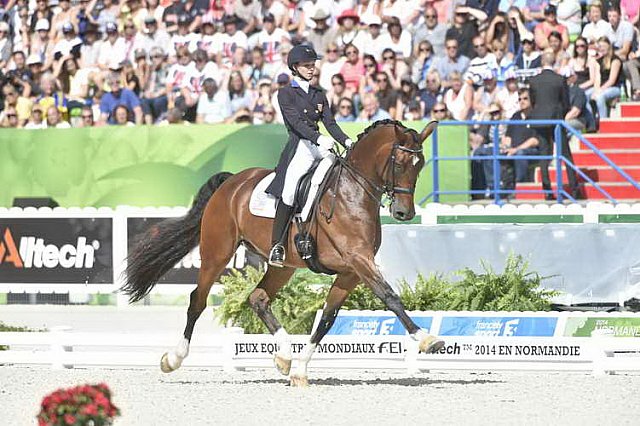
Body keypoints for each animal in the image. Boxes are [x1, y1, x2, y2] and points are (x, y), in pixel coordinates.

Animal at [121, 120, 440, 386]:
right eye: (400, 163)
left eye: (421, 164)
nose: (403, 213)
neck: (353, 192)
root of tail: (231, 182)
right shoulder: (358, 260)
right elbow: (389, 296)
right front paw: (426, 338)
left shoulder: (350, 272)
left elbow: (327, 319)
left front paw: (300, 370)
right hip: (216, 253)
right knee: (197, 301)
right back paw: (173, 359)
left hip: (283, 264)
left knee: (258, 298)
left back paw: (285, 356)